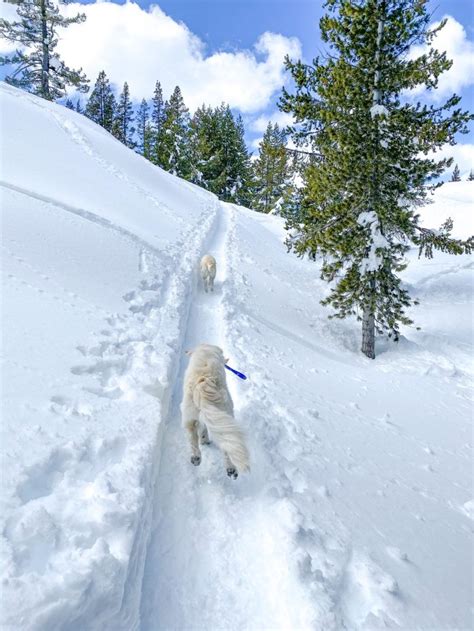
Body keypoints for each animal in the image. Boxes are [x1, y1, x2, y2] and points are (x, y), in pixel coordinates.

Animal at [180, 346, 250, 478]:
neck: (206, 350)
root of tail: (203, 384)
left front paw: (204, 440)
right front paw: (204, 440)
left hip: (190, 415)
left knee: (192, 438)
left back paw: (196, 458)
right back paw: (231, 469)